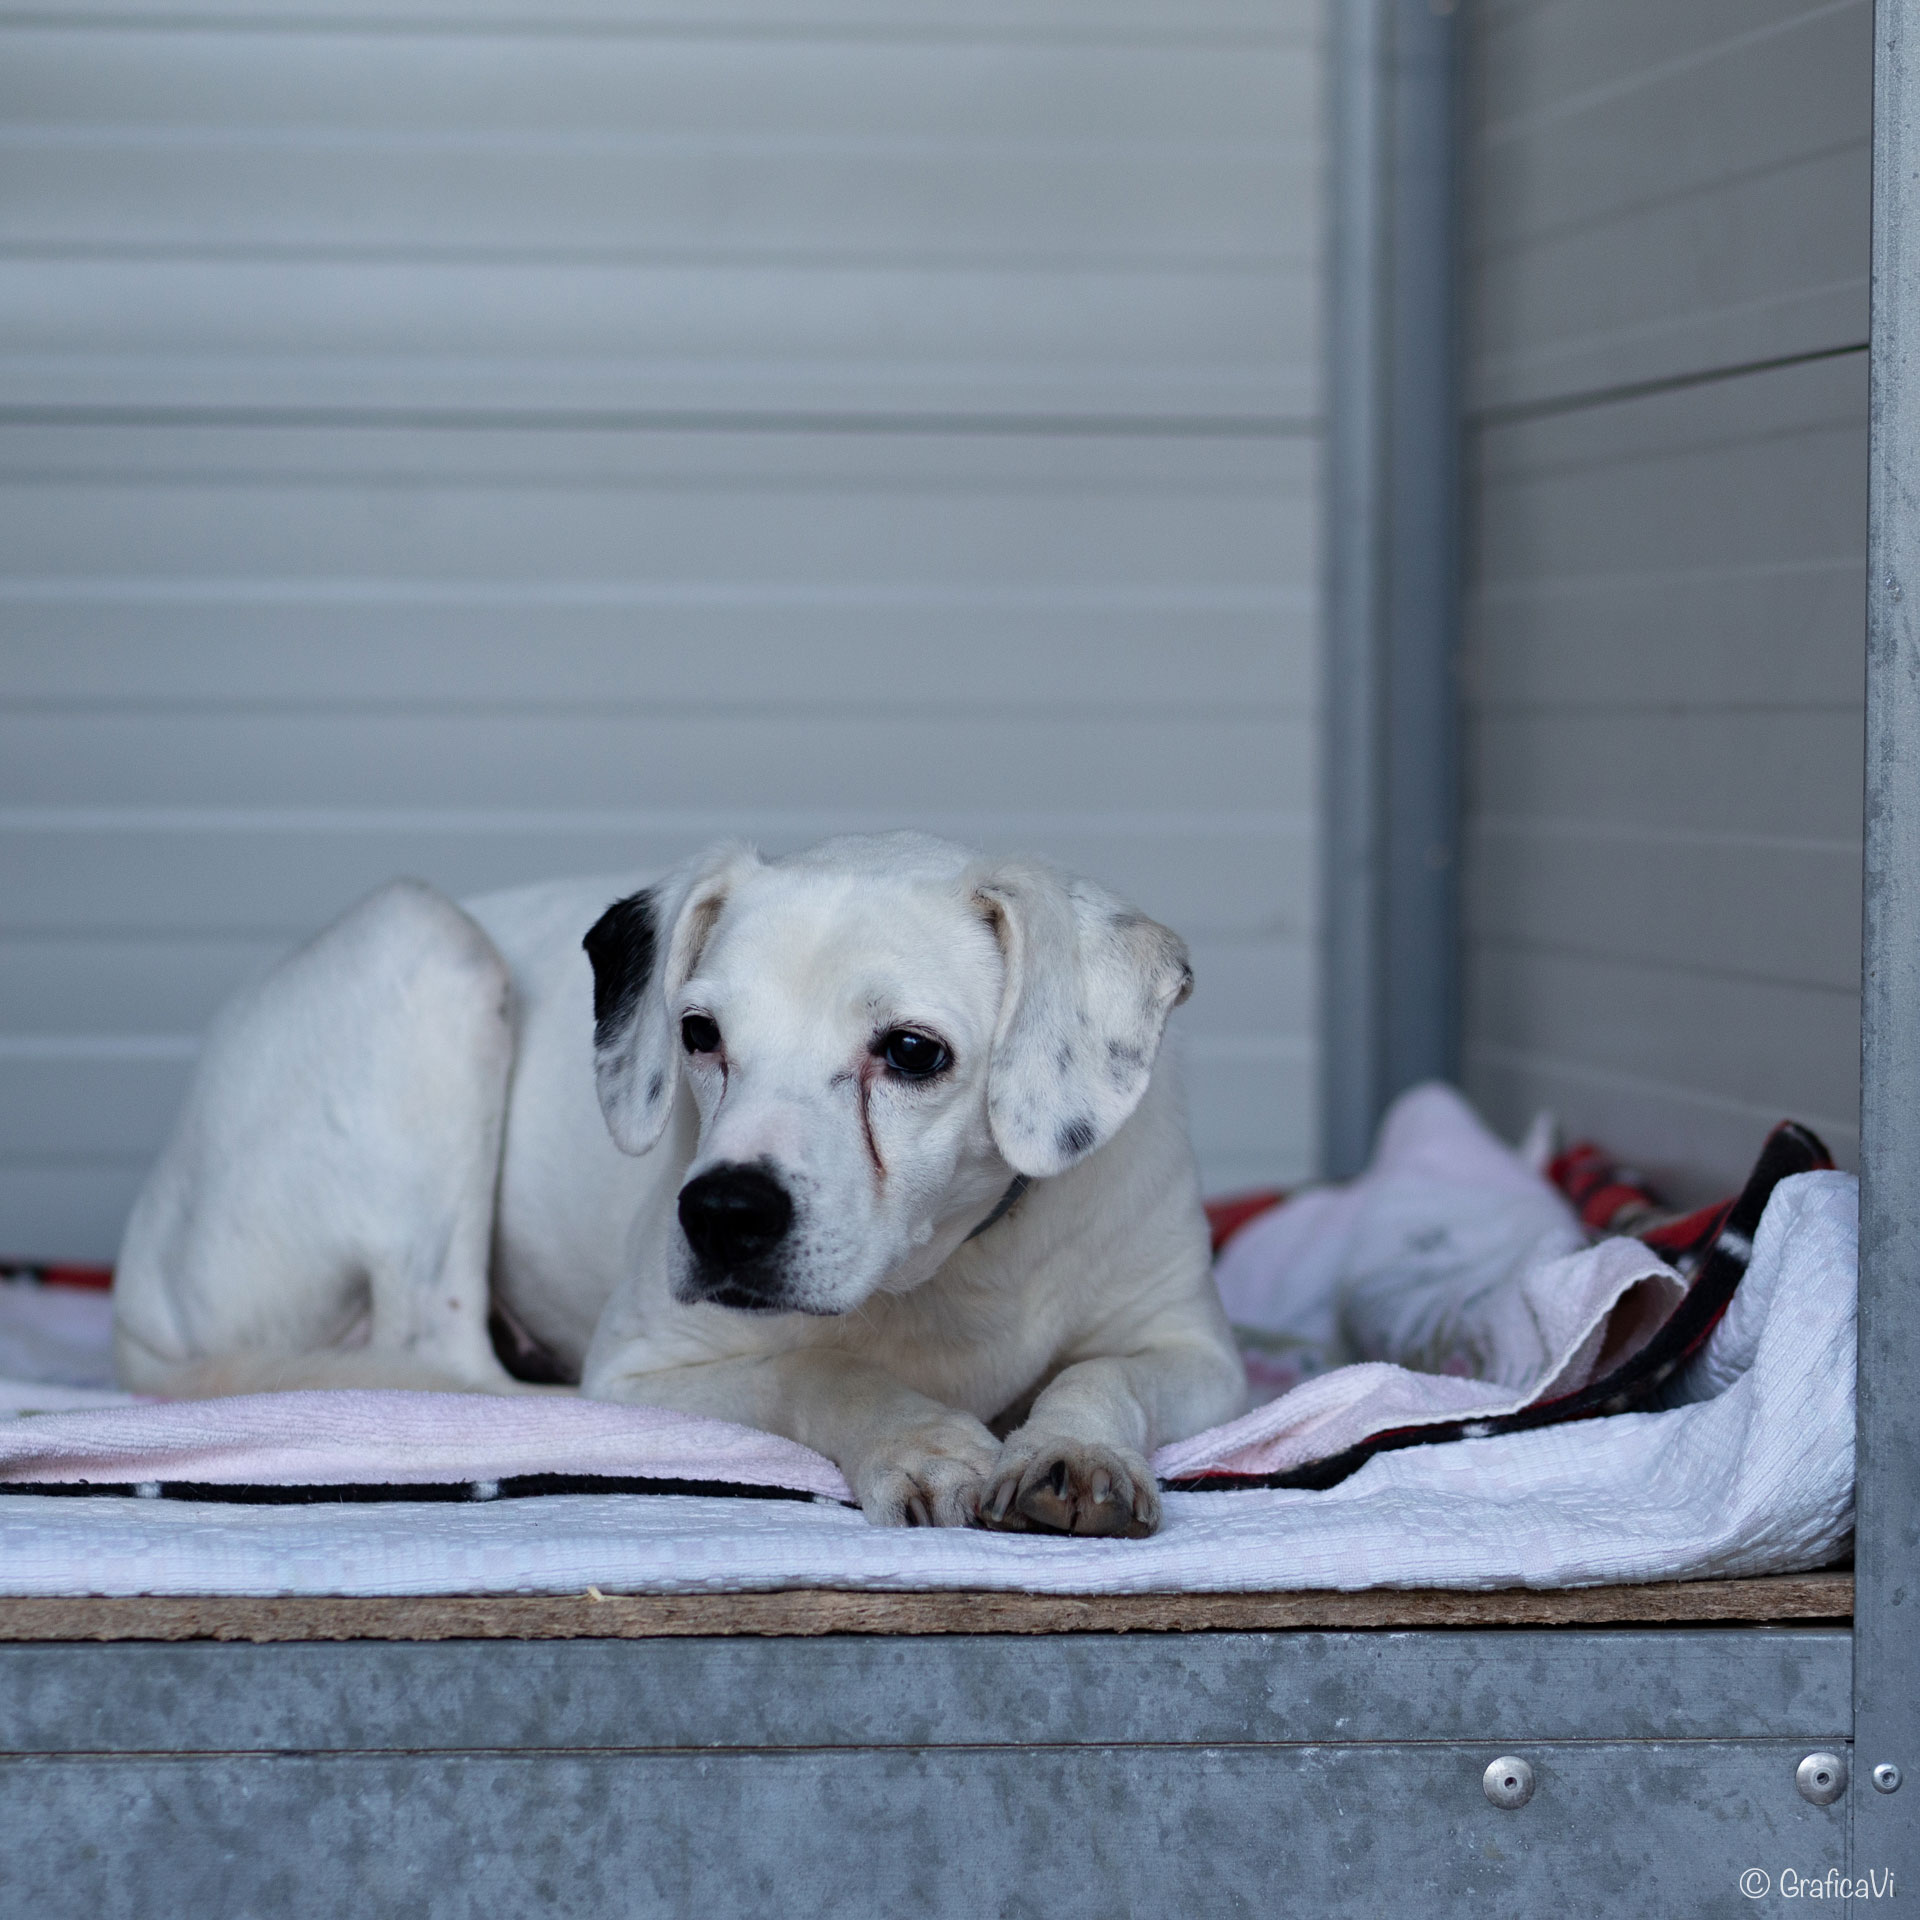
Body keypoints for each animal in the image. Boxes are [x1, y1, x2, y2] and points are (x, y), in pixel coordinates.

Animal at [116, 833, 1244, 1536]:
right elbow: (817, 1372)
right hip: (431, 941)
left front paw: (1073, 1454)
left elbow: (1102, 1377)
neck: (948, 1272)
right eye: (700, 1033)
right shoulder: (644, 1368)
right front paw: (915, 1437)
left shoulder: (1192, 1352)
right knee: (443, 1356)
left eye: (914, 1053)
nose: (722, 1213)